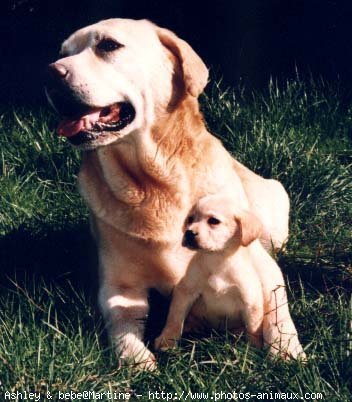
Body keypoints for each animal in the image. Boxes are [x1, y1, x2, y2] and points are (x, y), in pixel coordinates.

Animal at [46, 19, 288, 370]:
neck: (155, 184)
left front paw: (287, 350)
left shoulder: (264, 268)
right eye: (62, 52)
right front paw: (137, 358)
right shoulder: (120, 285)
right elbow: (121, 320)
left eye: (108, 45)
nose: (50, 73)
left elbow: (278, 310)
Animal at [154, 193, 306, 360]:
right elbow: (174, 318)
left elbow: (253, 329)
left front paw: (253, 350)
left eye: (213, 221)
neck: (217, 260)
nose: (188, 233)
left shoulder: (250, 301)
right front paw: (167, 340)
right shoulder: (185, 291)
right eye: (190, 219)